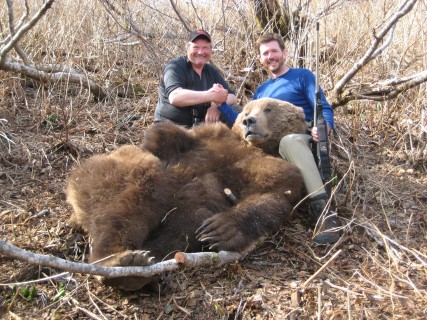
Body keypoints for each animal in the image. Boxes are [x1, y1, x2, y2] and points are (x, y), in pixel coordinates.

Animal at [66, 97, 308, 290]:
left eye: (268, 108)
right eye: (247, 111)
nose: (249, 121)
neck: (253, 147)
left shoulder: (278, 168)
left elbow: (273, 198)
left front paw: (221, 229)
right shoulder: (212, 135)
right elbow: (166, 135)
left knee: (182, 226)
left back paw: (137, 268)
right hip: (104, 175)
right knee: (132, 193)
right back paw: (117, 261)